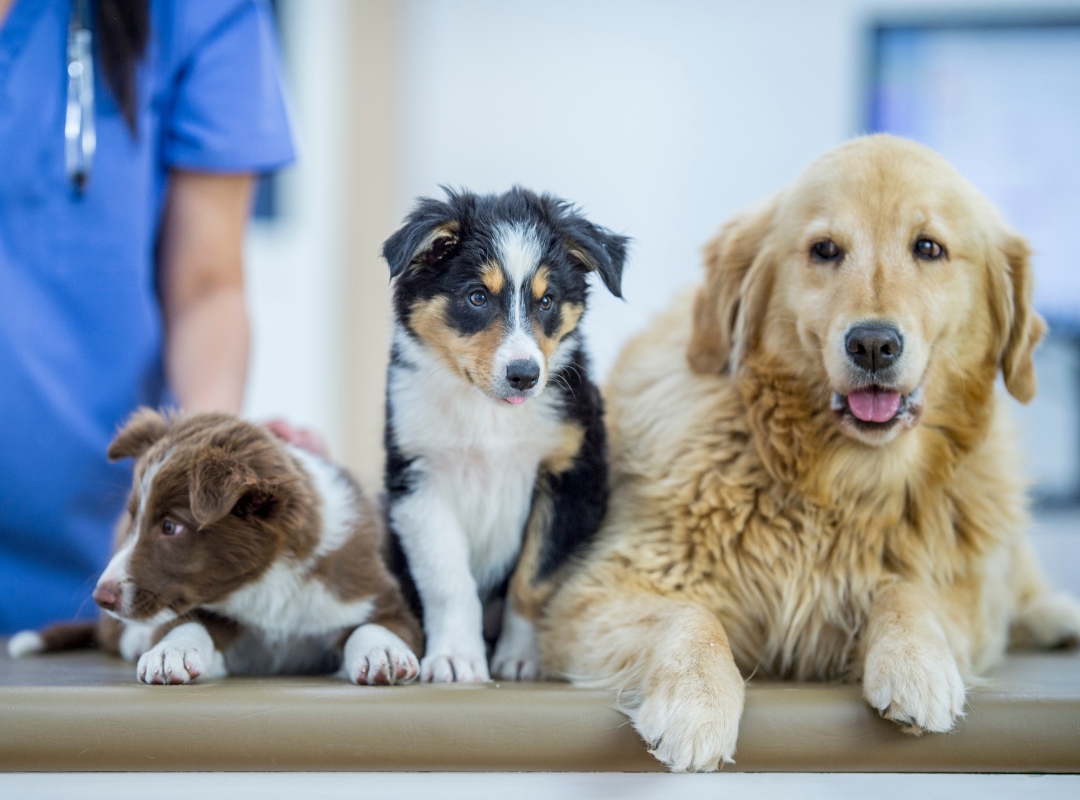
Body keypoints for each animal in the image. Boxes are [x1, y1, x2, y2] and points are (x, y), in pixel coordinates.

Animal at [8, 408, 421, 682]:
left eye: (170, 526)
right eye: (133, 517)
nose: (101, 597)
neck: (268, 583)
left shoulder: (374, 594)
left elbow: (375, 626)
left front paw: (383, 651)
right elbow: (187, 625)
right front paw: (169, 652)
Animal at [384, 185, 630, 682]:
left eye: (547, 300)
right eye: (477, 297)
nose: (524, 375)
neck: (489, 416)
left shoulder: (572, 476)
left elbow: (533, 578)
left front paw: (521, 657)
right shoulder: (418, 480)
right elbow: (449, 581)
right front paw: (457, 658)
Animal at [540, 134, 1080, 768]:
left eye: (929, 247)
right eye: (825, 249)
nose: (873, 344)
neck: (837, 480)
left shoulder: (965, 602)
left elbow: (907, 589)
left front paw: (916, 663)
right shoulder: (594, 594)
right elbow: (691, 614)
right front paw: (696, 701)